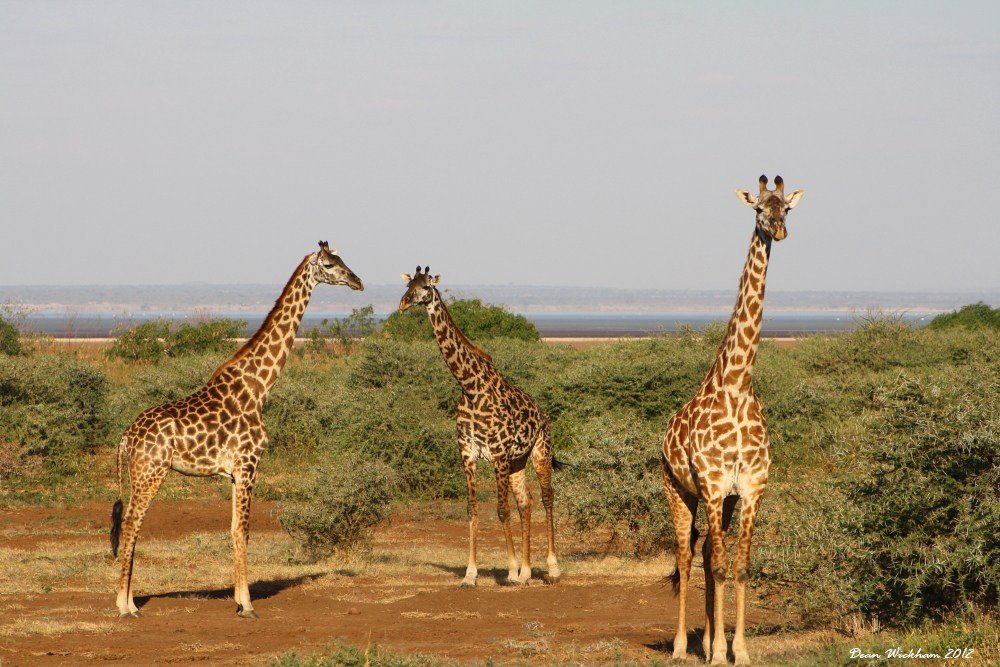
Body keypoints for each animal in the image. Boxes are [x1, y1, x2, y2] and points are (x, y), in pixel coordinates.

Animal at [109, 241, 363, 618]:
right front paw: (247, 605)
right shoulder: (249, 464)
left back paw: (128, 601)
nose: (358, 280)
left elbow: (232, 530)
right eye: (331, 265)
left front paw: (239, 600)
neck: (258, 387)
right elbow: (243, 531)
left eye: (343, 259)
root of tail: (127, 436)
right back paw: (126, 606)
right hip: (150, 472)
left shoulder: (233, 473)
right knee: (130, 523)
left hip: (142, 473)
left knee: (130, 524)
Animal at [398, 267, 560, 587]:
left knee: (547, 497)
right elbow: (473, 509)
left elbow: (501, 510)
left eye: (425, 287)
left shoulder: (497, 453)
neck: (470, 387)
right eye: (408, 286)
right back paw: (527, 572)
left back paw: (551, 568)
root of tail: (542, 413)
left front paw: (509, 571)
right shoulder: (468, 452)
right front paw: (470, 574)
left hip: (540, 452)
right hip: (517, 461)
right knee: (526, 502)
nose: (403, 303)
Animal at [661, 176, 803, 664]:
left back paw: (707, 640)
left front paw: (736, 649)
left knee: (706, 552)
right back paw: (681, 645)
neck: (738, 385)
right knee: (686, 555)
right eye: (758, 209)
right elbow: (719, 566)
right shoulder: (710, 482)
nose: (778, 230)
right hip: (678, 489)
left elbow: (738, 567)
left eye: (787, 208)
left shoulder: (751, 488)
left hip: (722, 501)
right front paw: (719, 651)